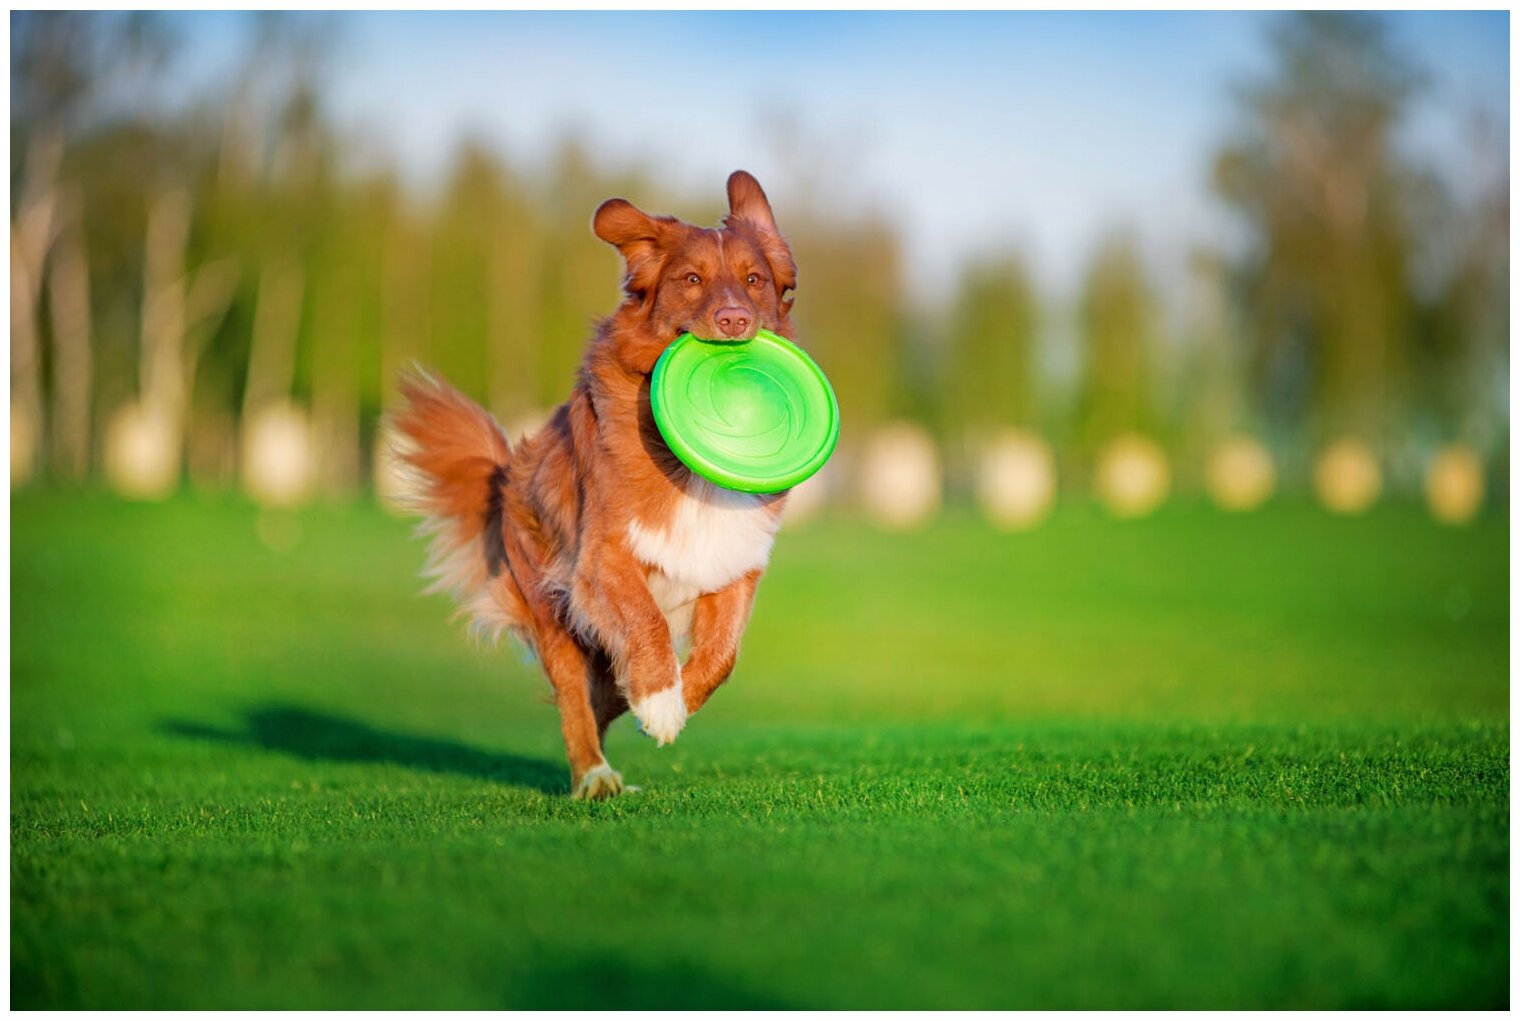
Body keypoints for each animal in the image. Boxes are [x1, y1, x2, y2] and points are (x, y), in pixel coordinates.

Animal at [392, 171, 802, 802]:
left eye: (754, 280)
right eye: (691, 280)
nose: (735, 319)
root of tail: (507, 471)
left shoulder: (734, 562)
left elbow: (722, 656)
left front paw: (672, 701)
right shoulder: (601, 557)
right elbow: (645, 621)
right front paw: (661, 701)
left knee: (603, 697)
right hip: (551, 606)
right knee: (574, 701)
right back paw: (594, 774)